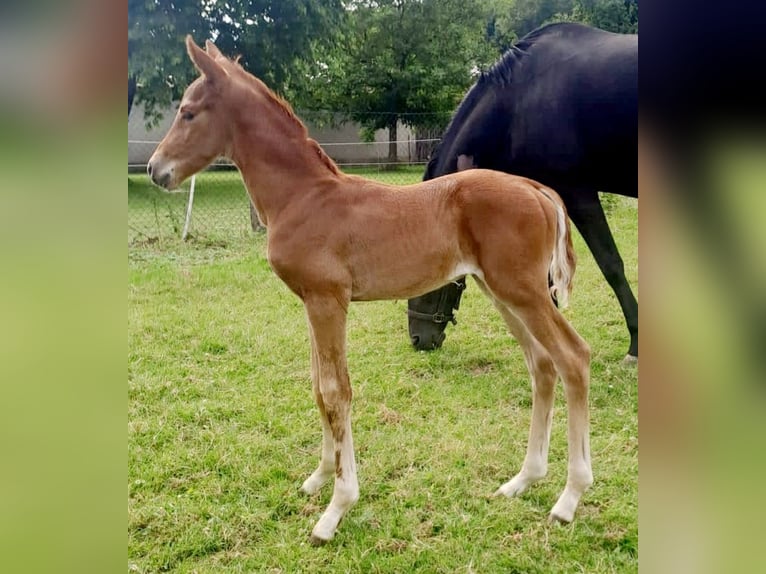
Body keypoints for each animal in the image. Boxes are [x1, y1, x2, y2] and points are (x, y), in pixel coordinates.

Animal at [148, 37, 592, 544]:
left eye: (188, 112)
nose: (155, 169)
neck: (304, 197)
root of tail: (536, 188)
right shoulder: (311, 303)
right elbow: (319, 387)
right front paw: (320, 477)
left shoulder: (329, 301)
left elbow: (336, 391)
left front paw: (336, 508)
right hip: (501, 292)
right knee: (542, 365)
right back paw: (523, 480)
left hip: (524, 292)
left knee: (573, 357)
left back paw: (568, 498)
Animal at [412, 24, 640, 364]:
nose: (418, 338)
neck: (518, 102)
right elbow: (544, 281)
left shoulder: (578, 193)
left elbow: (611, 265)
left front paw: (635, 344)